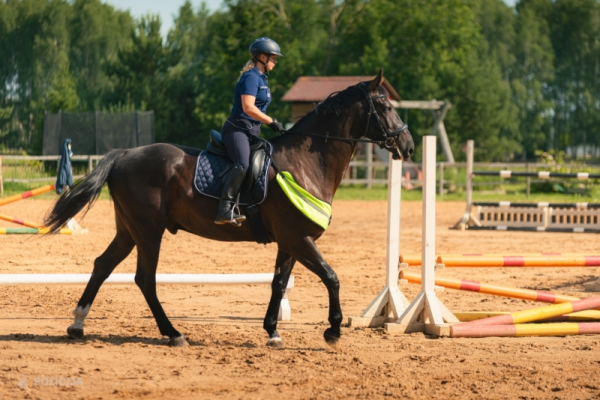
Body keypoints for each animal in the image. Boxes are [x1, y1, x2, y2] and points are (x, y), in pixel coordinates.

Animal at [45, 70, 412, 348]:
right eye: (383, 105)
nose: (407, 146)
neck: (306, 164)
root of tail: (124, 154)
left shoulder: (290, 242)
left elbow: (279, 283)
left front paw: (272, 331)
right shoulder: (299, 238)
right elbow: (331, 277)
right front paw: (333, 330)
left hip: (129, 230)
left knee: (103, 265)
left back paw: (77, 325)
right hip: (149, 230)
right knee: (145, 278)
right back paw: (173, 333)